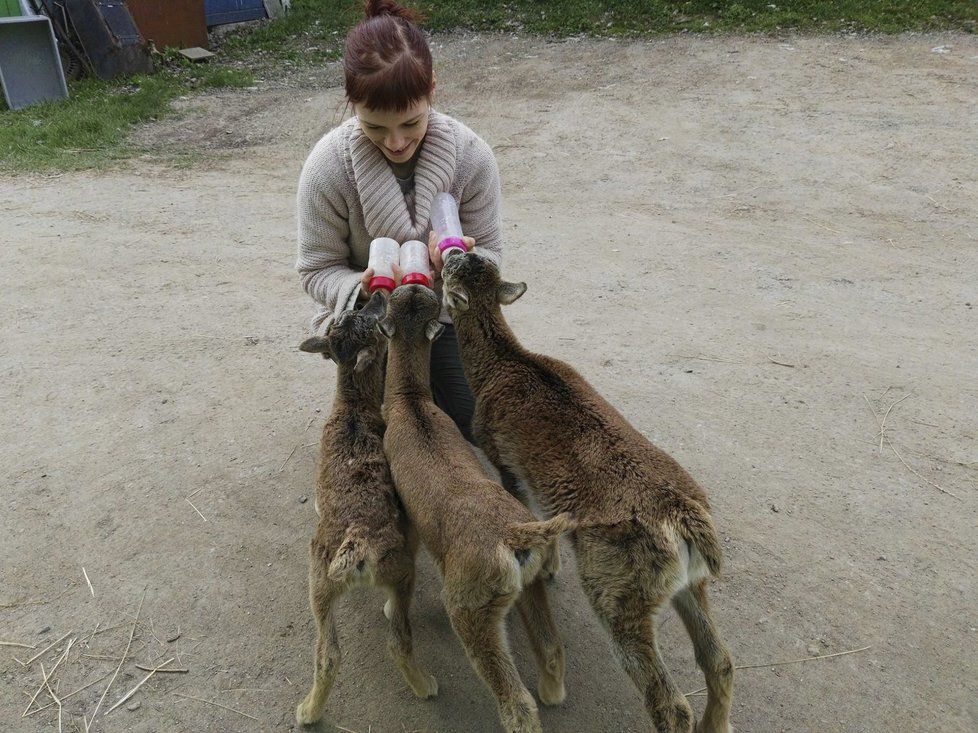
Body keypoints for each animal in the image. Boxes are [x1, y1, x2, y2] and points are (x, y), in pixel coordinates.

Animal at [290, 288, 434, 724]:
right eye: (368, 320)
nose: (377, 295)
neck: (353, 410)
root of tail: (359, 544)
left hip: (318, 580)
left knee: (328, 654)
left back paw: (306, 713)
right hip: (399, 570)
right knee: (397, 640)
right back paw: (426, 687)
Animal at [378, 284, 576, 732]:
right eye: (409, 298)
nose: (414, 285)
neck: (410, 404)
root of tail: (515, 534)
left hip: (472, 610)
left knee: (515, 700)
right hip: (528, 584)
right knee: (551, 646)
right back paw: (553, 692)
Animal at [440, 254, 732, 732]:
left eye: (455, 267)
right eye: (473, 260)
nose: (450, 252)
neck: (501, 367)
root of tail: (683, 518)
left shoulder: (506, 463)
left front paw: (550, 568)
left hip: (617, 591)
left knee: (669, 701)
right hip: (693, 582)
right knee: (719, 660)